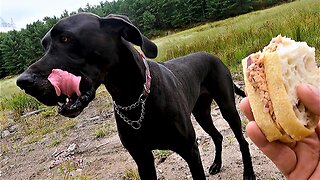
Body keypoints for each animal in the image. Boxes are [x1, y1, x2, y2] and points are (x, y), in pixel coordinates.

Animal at [16, 13, 256, 180]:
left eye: (66, 38)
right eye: (45, 45)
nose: (23, 82)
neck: (133, 98)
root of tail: (213, 56)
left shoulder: (189, 150)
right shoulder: (142, 159)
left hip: (227, 107)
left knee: (241, 140)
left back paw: (248, 173)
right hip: (201, 112)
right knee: (218, 136)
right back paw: (216, 164)